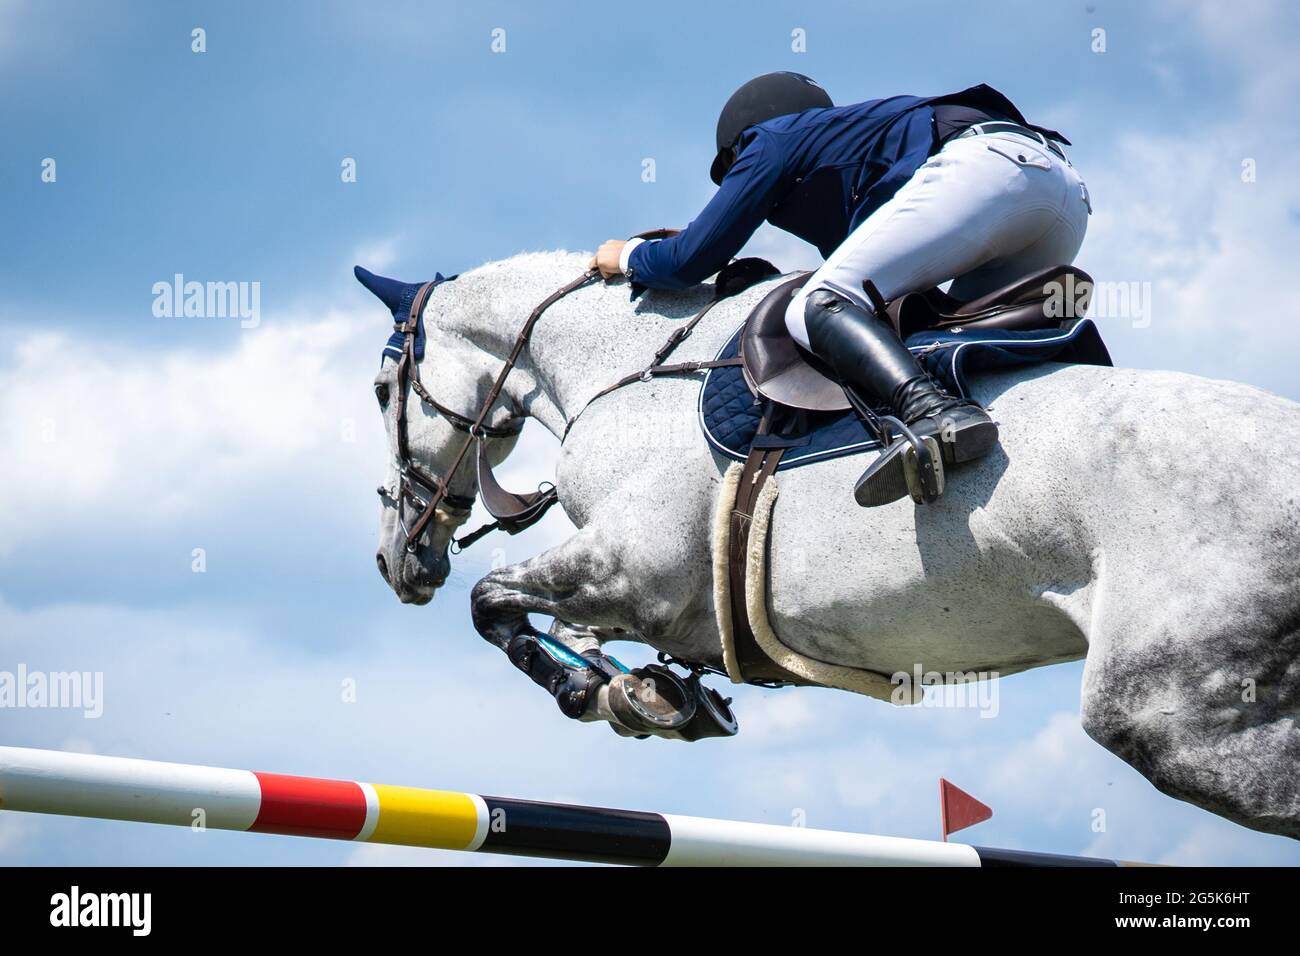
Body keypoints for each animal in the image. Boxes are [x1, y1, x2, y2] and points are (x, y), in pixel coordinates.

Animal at [364, 251, 1300, 842]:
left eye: (380, 390)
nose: (396, 562)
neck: (621, 368)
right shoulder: (642, 590)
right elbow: (548, 620)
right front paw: (652, 691)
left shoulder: (634, 569)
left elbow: (495, 605)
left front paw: (605, 692)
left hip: (1164, 709)